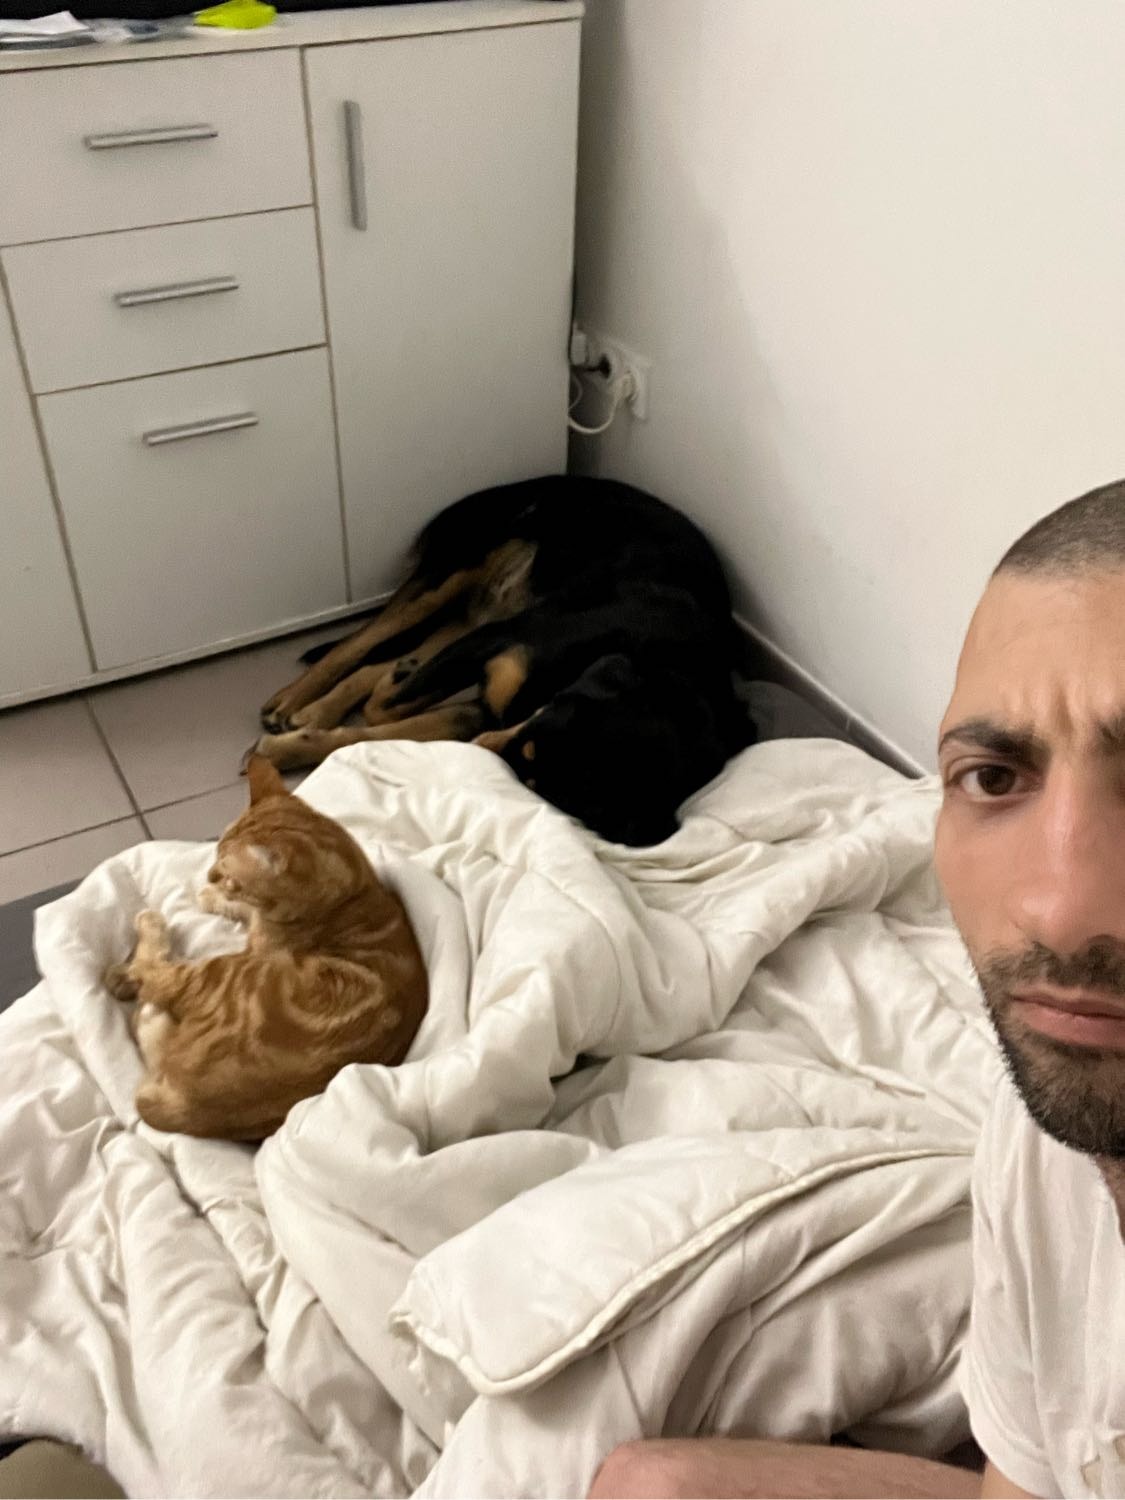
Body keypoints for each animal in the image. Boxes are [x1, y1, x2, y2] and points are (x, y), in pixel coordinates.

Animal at [104, 754, 428, 1141]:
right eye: (215, 852)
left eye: (228, 873)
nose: (210, 876)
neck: (352, 895)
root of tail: (189, 1108)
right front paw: (212, 896)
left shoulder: (255, 947)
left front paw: (212, 895)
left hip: (218, 973)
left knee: (154, 984)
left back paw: (141, 958)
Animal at [255, 475, 755, 845]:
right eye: (532, 745)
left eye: (538, 786)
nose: (478, 751)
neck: (668, 662)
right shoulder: (502, 645)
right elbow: (384, 709)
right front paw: (296, 740)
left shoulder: (487, 700)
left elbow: (376, 729)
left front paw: (298, 746)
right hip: (457, 575)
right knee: (360, 643)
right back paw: (298, 702)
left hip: (478, 612)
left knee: (390, 659)